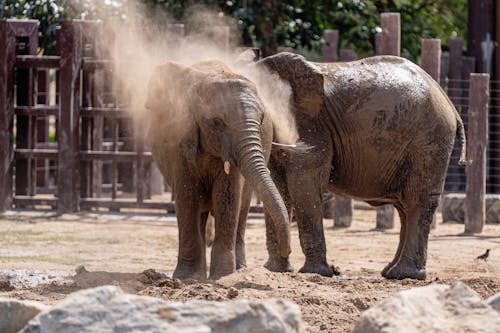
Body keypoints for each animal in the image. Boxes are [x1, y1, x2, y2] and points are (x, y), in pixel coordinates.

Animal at [145, 60, 292, 280]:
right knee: (199, 211)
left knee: (241, 209)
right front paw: (186, 278)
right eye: (217, 123)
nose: (286, 251)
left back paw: (239, 269)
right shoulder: (180, 140)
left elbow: (228, 198)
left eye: (261, 120)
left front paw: (222, 277)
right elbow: (187, 197)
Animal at [254, 52, 468, 278]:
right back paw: (390, 272)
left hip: (429, 140)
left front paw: (315, 273)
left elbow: (305, 184)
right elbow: (279, 185)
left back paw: (405, 274)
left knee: (418, 200)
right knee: (405, 207)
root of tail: (448, 101)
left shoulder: (311, 126)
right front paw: (276, 269)